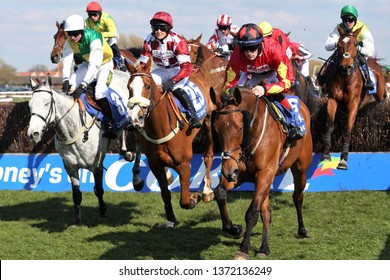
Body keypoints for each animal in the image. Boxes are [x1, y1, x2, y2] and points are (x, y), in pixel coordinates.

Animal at [26, 70, 139, 225]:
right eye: (30, 105)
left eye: (46, 103)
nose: (33, 133)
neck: (73, 131)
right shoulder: (70, 166)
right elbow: (76, 194)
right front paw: (77, 220)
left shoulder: (96, 165)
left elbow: (98, 190)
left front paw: (103, 211)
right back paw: (125, 152)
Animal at [126, 59, 215, 228]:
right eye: (129, 87)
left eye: (148, 86)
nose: (136, 118)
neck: (160, 129)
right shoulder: (155, 164)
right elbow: (165, 194)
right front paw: (171, 218)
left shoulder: (184, 164)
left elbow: (185, 200)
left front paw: (194, 198)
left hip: (208, 120)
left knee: (209, 155)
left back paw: (207, 191)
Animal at [210, 86, 314, 260]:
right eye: (217, 129)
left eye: (239, 128)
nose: (227, 170)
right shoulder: (242, 174)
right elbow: (220, 192)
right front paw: (234, 229)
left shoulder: (265, 173)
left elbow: (252, 212)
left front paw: (244, 248)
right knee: (266, 211)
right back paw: (264, 247)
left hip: (300, 169)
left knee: (297, 197)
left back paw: (302, 229)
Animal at [320, 26, 386, 170]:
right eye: (339, 45)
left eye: (356, 44)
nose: (346, 66)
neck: (345, 77)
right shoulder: (332, 99)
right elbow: (330, 125)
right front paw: (326, 153)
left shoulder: (353, 103)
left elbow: (347, 129)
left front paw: (343, 159)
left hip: (380, 92)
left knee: (382, 97)